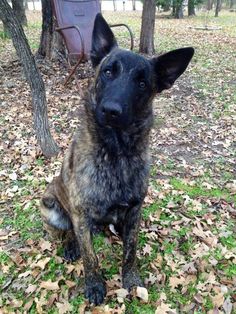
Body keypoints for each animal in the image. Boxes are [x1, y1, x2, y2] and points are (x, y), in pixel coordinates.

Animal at [40, 13, 194, 306]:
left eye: (142, 83)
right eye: (108, 72)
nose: (111, 111)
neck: (116, 152)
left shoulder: (134, 211)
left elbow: (130, 251)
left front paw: (130, 279)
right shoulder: (80, 213)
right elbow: (90, 257)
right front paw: (94, 285)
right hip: (50, 204)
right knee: (67, 232)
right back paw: (70, 244)